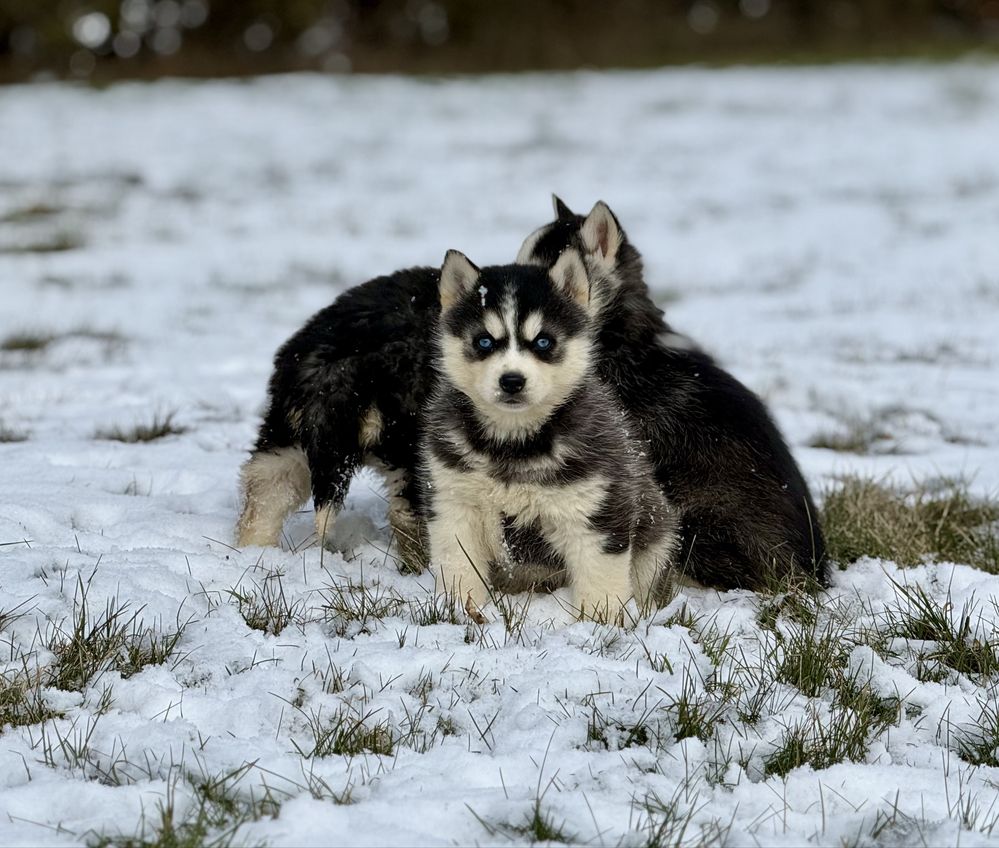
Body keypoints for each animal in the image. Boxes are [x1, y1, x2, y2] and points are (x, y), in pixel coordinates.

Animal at [418, 248, 676, 620]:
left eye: (543, 341)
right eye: (484, 341)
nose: (512, 381)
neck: (513, 443)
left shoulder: (596, 512)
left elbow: (600, 584)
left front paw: (599, 626)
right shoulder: (454, 502)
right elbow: (459, 568)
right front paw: (460, 611)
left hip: (657, 530)